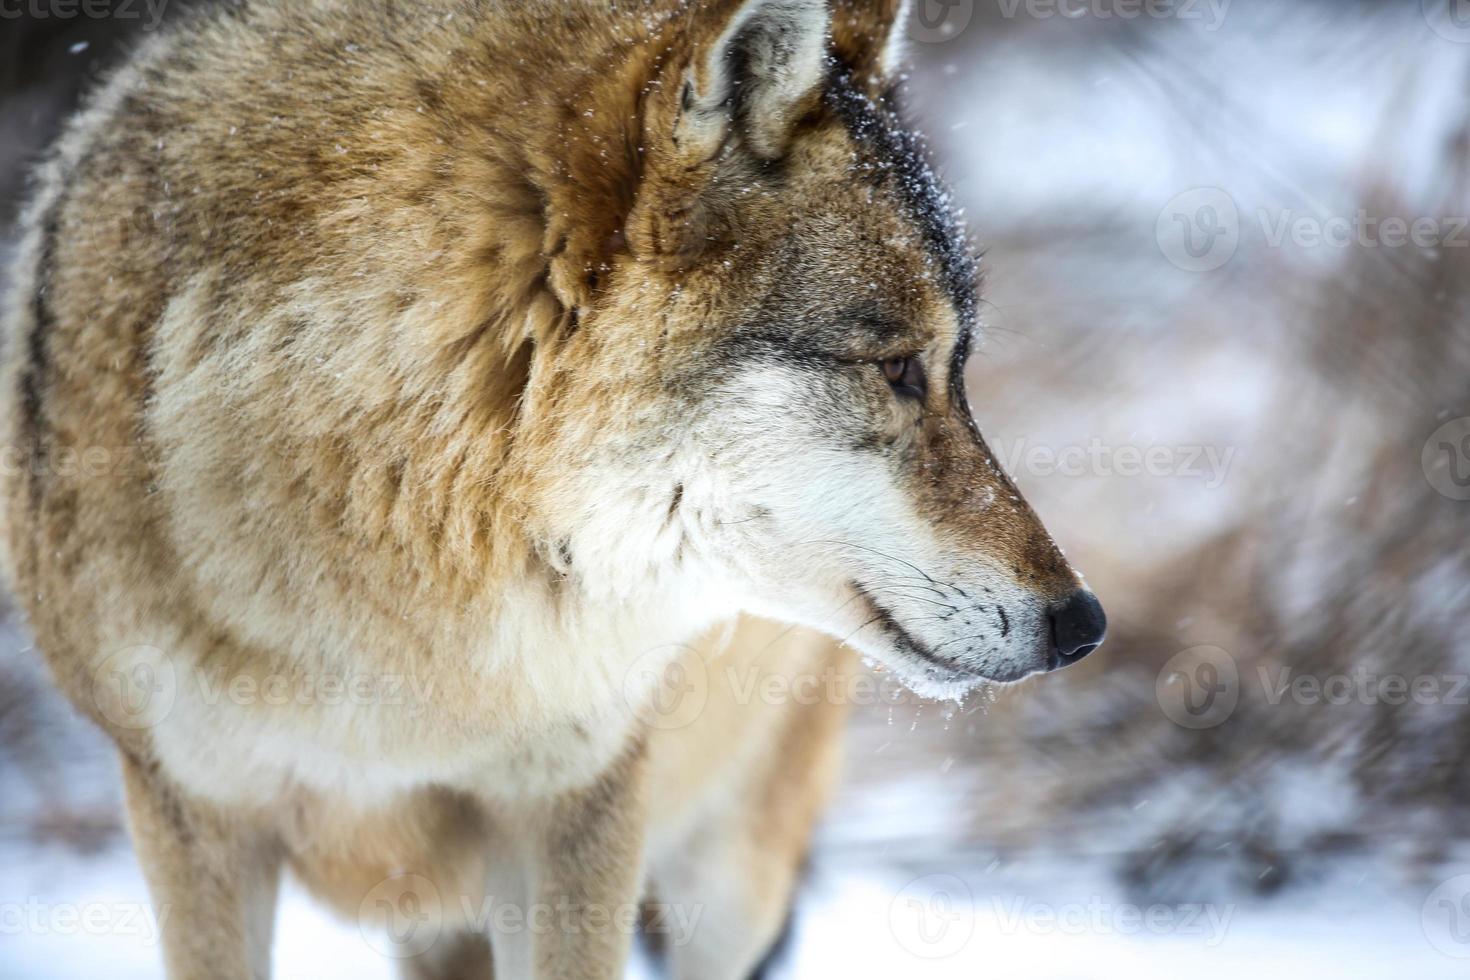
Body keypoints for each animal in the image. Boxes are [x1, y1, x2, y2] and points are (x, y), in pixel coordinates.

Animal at [0, 0, 1105, 975]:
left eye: (957, 369)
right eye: (899, 369)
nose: (1084, 623)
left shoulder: (580, 808)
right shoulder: (189, 818)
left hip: (731, 875)